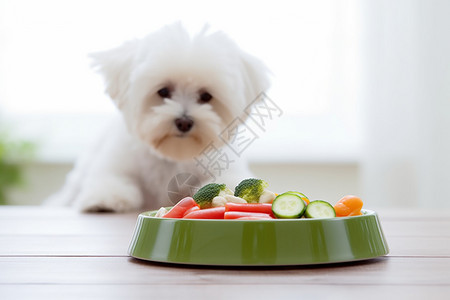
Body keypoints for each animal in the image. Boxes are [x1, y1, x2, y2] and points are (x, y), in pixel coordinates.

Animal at [47, 24, 268, 213]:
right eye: (163, 91)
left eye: (206, 96)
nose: (184, 122)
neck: (172, 156)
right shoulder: (114, 164)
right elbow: (111, 179)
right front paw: (106, 200)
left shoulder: (229, 169)